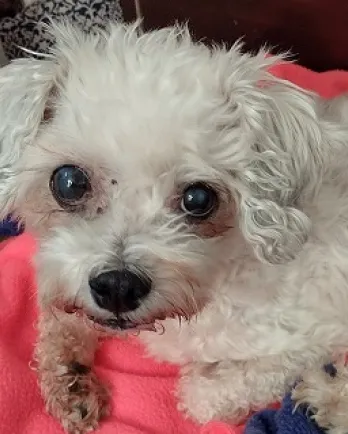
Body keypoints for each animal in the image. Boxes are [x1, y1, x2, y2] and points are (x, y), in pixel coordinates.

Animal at [0, 22, 348, 434]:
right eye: (69, 182)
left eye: (198, 199)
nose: (118, 287)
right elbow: (60, 312)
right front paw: (70, 378)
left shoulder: (307, 341)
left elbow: (199, 396)